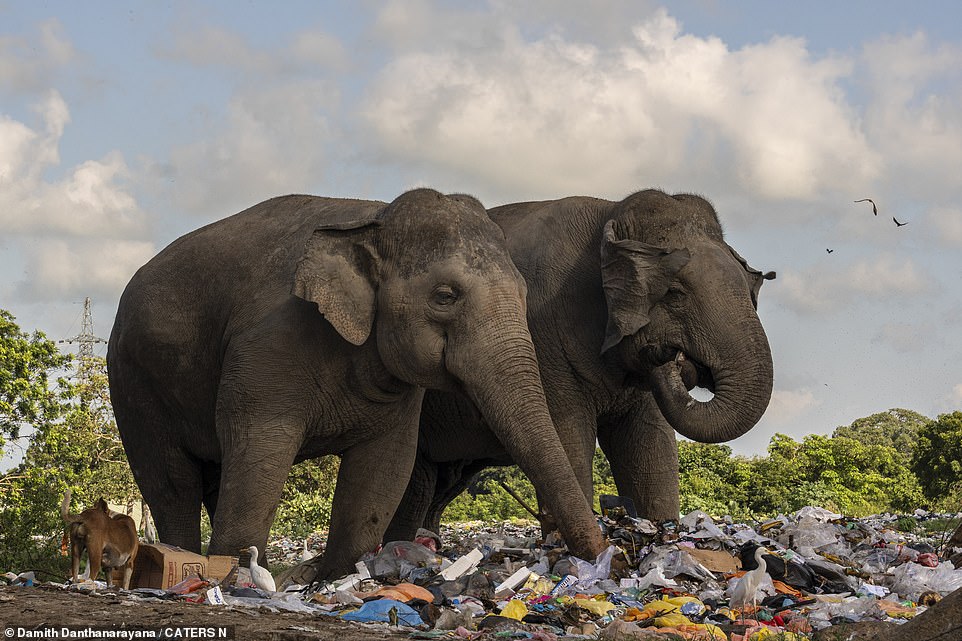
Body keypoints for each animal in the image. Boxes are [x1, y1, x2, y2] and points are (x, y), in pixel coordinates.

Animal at [105, 186, 600, 580]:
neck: (374, 220)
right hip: (132, 383)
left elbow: (385, 464)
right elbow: (260, 447)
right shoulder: (267, 345)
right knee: (171, 481)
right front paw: (238, 577)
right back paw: (183, 563)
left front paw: (337, 577)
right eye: (445, 296)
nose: (599, 555)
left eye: (523, 293)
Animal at [382, 186, 772, 540]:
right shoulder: (542, 338)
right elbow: (568, 435)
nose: (673, 356)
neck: (610, 215)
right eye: (675, 294)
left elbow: (651, 447)